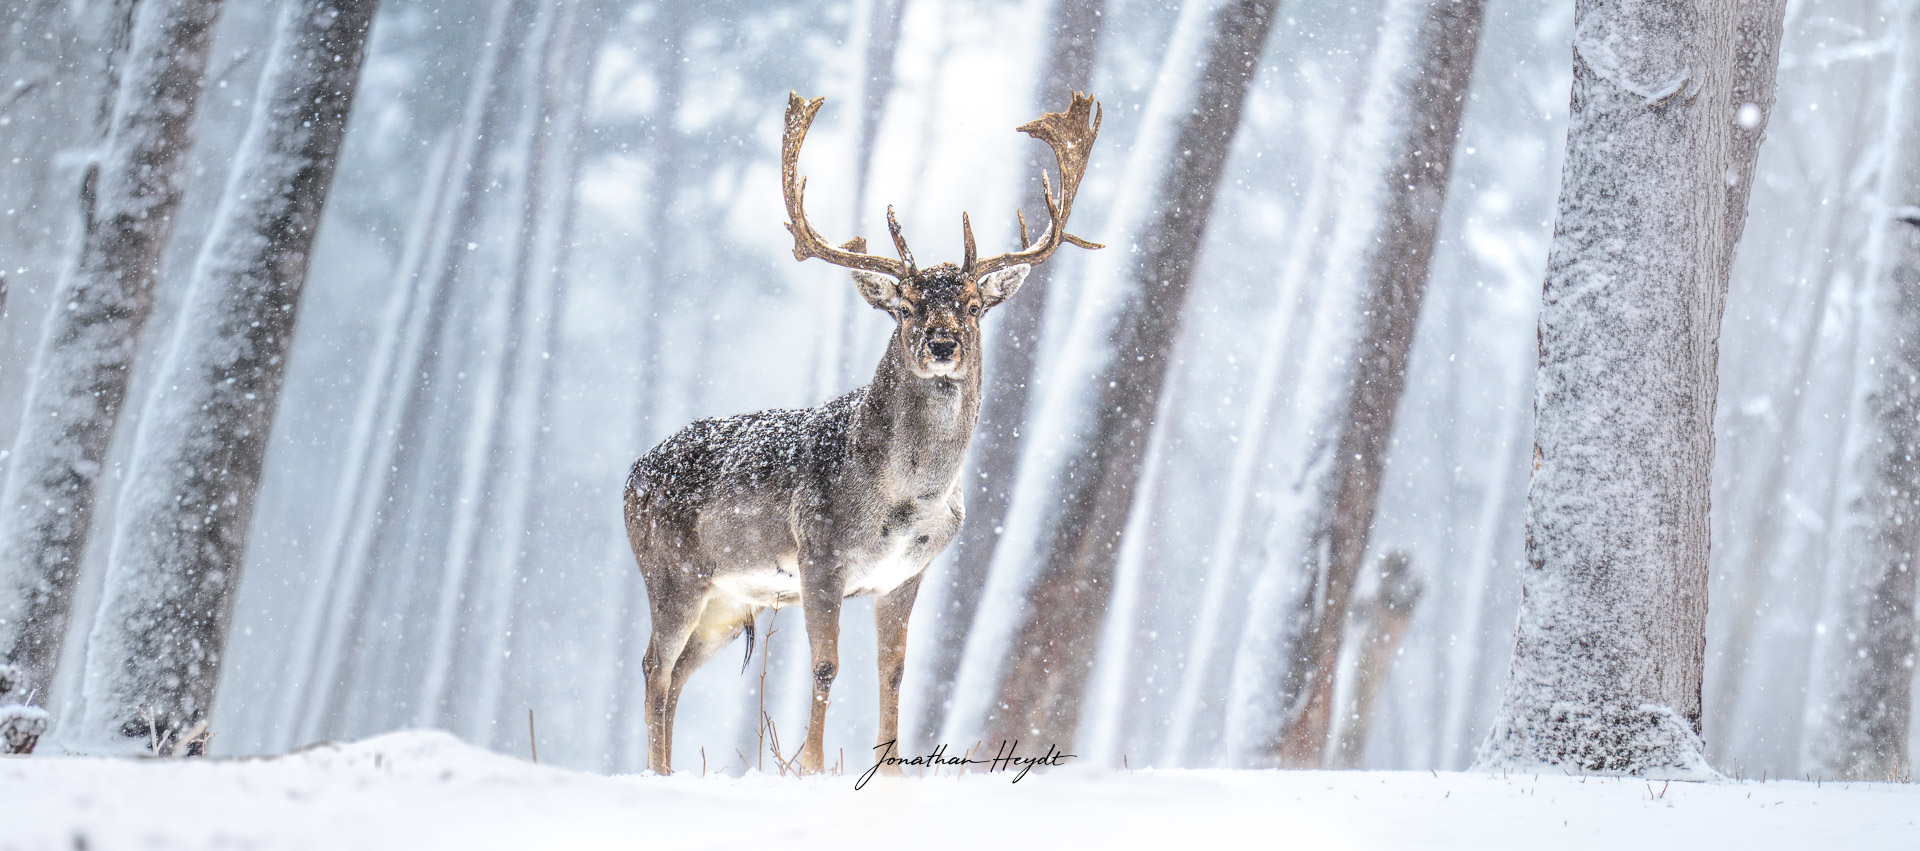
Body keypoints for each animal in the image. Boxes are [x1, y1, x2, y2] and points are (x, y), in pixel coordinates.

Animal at [623, 91, 1101, 775]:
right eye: (904, 305)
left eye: (974, 305)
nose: (942, 343)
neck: (905, 499)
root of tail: (630, 476)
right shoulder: (819, 554)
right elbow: (826, 667)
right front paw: (814, 768)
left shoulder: (904, 575)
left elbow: (892, 673)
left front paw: (889, 771)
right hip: (671, 572)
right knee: (653, 667)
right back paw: (657, 773)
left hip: (728, 601)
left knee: (679, 671)